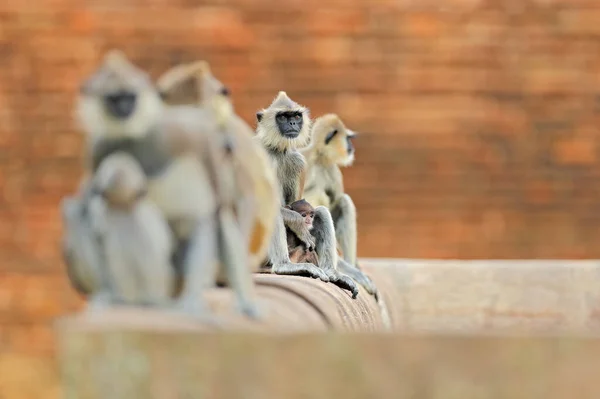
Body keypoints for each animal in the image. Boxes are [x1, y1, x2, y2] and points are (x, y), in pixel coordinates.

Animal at [254, 90, 358, 296]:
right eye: (283, 117)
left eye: (296, 117)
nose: (293, 124)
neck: (275, 151)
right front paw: (299, 224)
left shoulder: (297, 160)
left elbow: (298, 204)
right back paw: (284, 266)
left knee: (322, 211)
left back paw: (333, 273)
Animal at [300, 114, 380, 298]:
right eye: (348, 138)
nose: (351, 147)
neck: (319, 158)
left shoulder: (331, 169)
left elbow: (337, 201)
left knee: (344, 202)